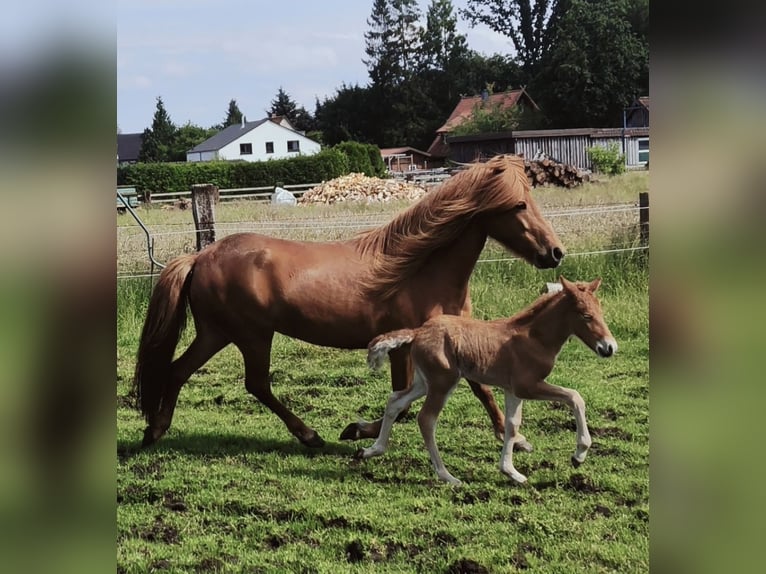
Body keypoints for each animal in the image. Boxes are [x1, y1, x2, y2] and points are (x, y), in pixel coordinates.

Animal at [358, 278, 616, 486]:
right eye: (586, 315)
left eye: (601, 312)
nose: (609, 347)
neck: (534, 338)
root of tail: (417, 332)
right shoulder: (528, 386)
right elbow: (575, 397)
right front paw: (579, 454)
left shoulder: (513, 390)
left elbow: (512, 425)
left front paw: (511, 472)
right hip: (443, 382)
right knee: (426, 419)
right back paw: (447, 476)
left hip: (424, 382)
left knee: (396, 400)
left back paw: (372, 450)